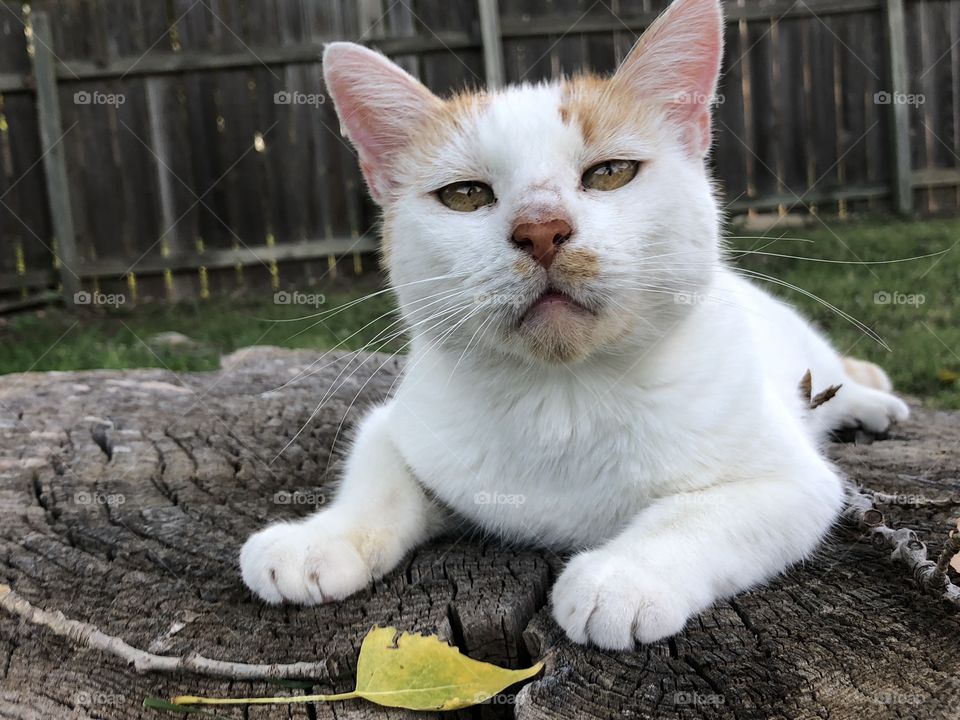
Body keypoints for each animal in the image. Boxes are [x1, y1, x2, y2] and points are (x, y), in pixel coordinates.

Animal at [238, 0, 908, 652]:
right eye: (464, 194)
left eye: (610, 172)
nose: (541, 229)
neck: (563, 398)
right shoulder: (398, 424)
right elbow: (376, 478)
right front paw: (315, 540)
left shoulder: (792, 483)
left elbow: (699, 516)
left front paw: (622, 577)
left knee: (836, 382)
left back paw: (876, 406)